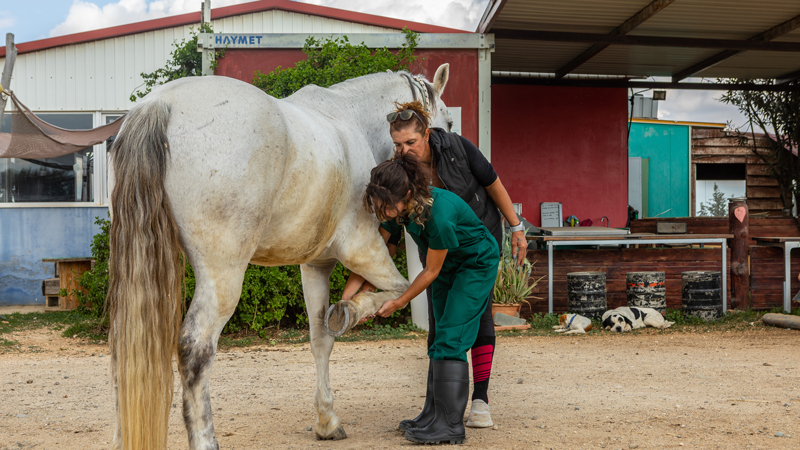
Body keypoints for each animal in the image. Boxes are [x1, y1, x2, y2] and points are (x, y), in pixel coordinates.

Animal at [106, 64, 454, 450]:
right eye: (449, 124)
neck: (351, 120)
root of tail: (161, 104)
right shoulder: (362, 248)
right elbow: (400, 289)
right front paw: (351, 310)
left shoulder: (316, 265)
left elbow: (321, 338)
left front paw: (327, 421)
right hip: (222, 274)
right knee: (195, 347)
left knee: (125, 346)